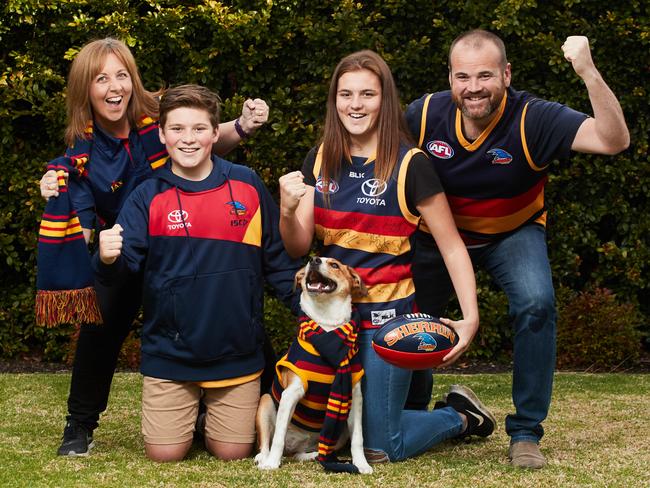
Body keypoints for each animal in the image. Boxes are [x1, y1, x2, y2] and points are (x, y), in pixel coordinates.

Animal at [256, 255, 372, 472]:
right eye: (311, 262)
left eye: (334, 265)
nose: (314, 259)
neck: (327, 327)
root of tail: (295, 447)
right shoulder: (290, 393)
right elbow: (278, 437)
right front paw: (272, 463)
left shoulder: (355, 397)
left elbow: (358, 438)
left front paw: (361, 464)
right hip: (266, 402)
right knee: (267, 440)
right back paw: (264, 458)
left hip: (340, 430)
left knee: (310, 451)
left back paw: (314, 455)